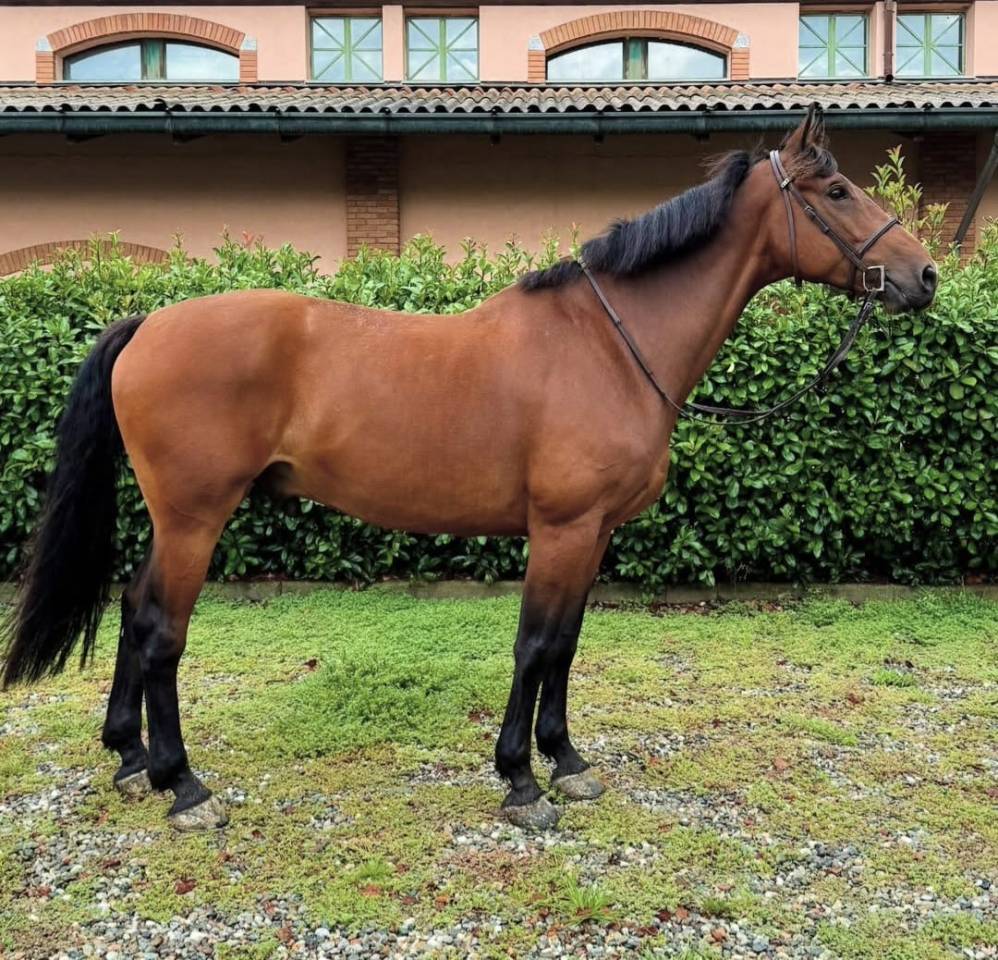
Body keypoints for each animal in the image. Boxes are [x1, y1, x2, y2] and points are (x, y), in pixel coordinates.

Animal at [2, 107, 936, 832]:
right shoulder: (560, 529)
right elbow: (535, 644)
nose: (924, 276)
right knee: (162, 629)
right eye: (838, 192)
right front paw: (521, 780)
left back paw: (129, 757)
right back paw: (182, 785)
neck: (611, 344)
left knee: (132, 610)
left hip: (175, 519)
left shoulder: (592, 535)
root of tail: (149, 323)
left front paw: (566, 761)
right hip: (196, 515)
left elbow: (567, 643)